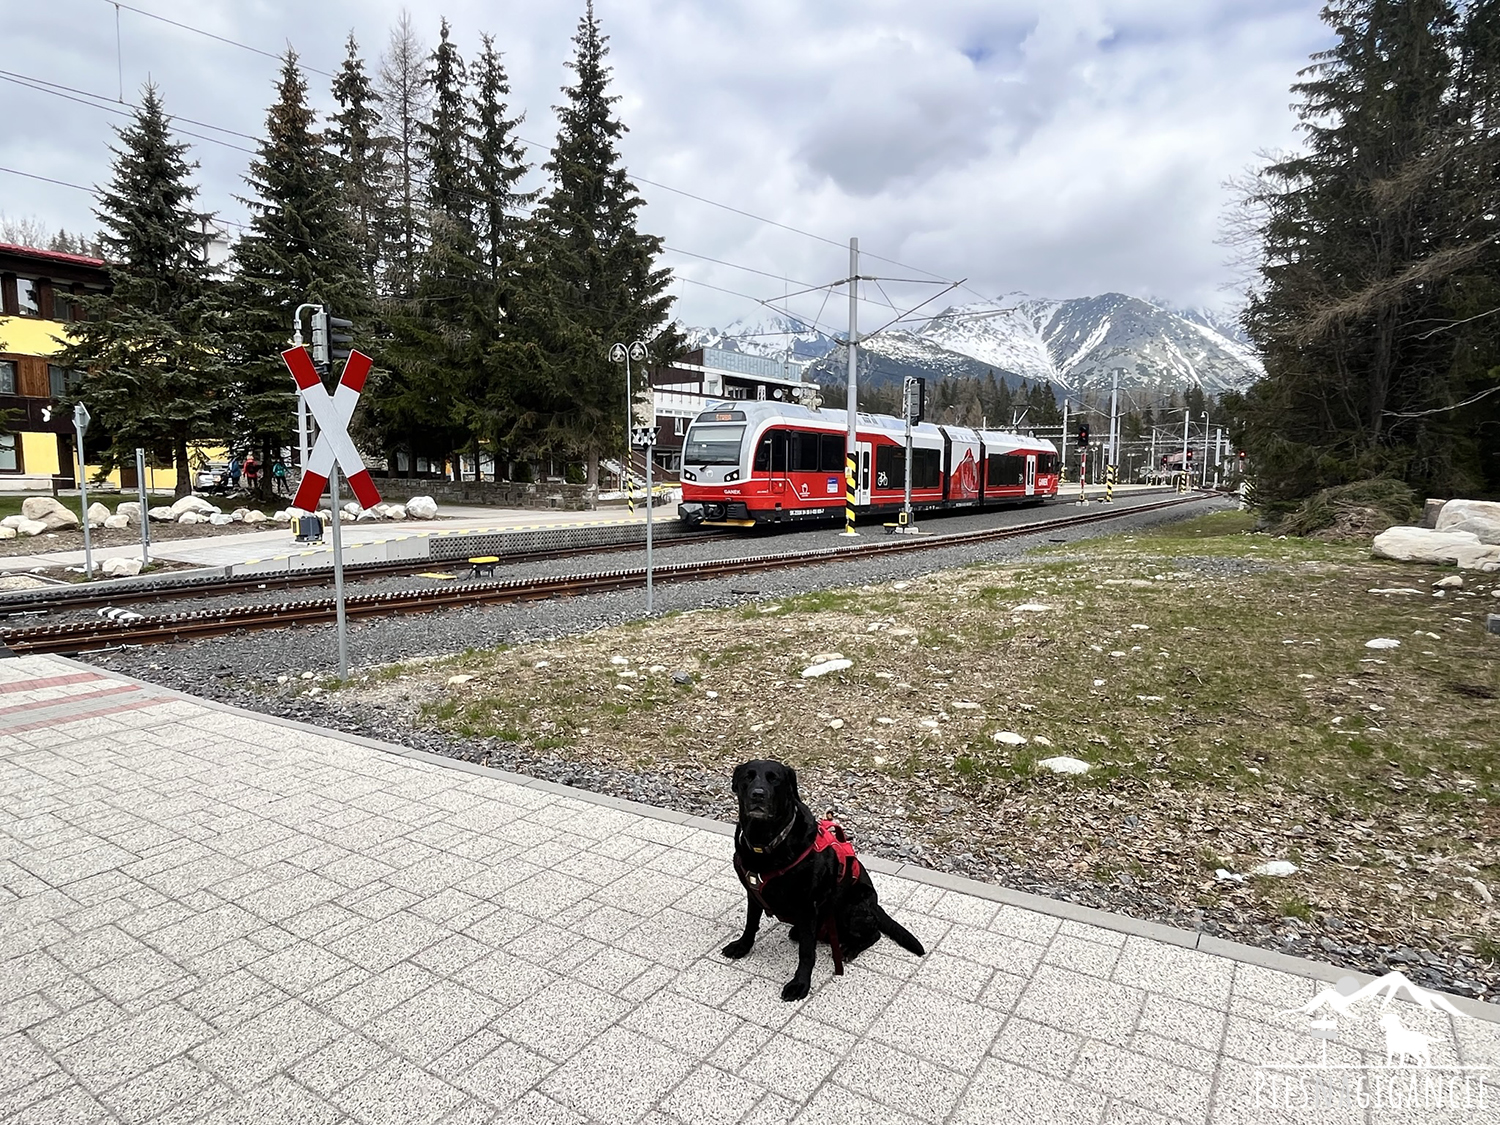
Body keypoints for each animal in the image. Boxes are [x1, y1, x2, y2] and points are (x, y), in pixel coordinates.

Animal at [720, 762, 918, 1002]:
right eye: (747, 777)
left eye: (774, 779)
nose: (758, 794)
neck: (765, 842)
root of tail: (875, 905)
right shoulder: (753, 894)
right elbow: (750, 925)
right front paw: (742, 946)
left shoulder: (807, 906)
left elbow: (807, 952)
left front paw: (800, 984)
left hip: (852, 906)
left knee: (874, 934)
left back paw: (850, 948)